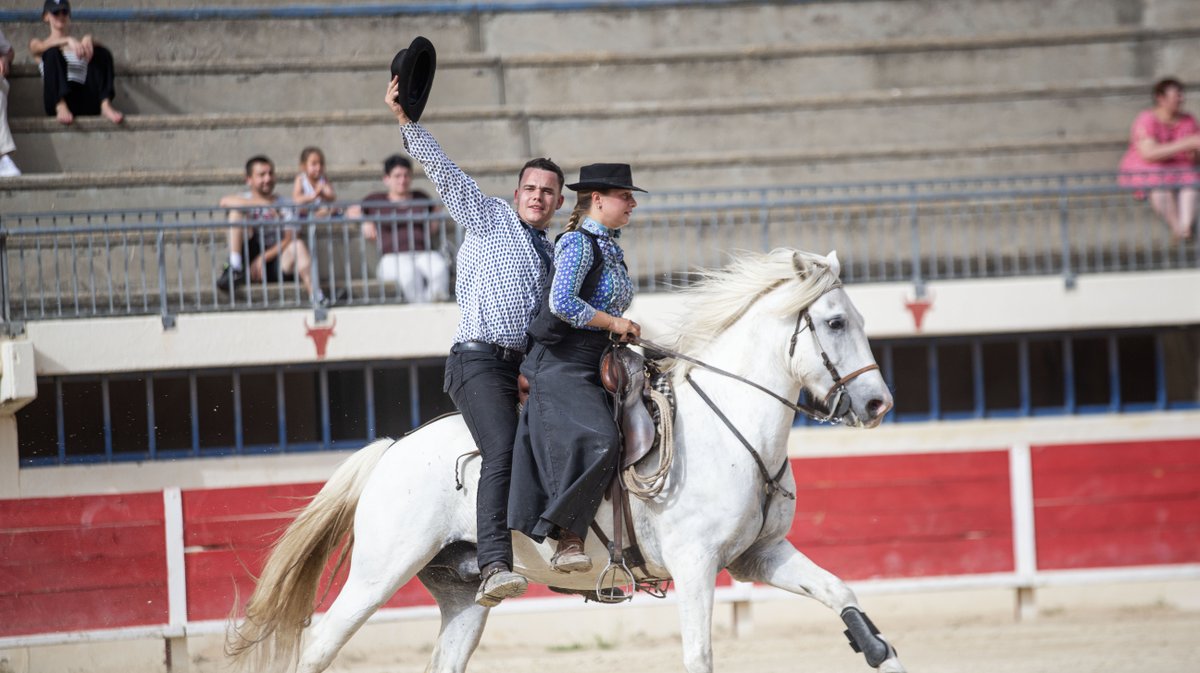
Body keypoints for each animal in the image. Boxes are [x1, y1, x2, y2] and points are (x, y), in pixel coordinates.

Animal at [226, 249, 902, 671]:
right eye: (835, 322)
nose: (878, 403)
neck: (728, 426)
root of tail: (393, 452)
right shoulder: (697, 564)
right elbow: (699, 655)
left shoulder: (758, 555)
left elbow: (840, 591)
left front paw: (880, 650)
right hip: (377, 572)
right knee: (319, 645)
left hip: (463, 594)